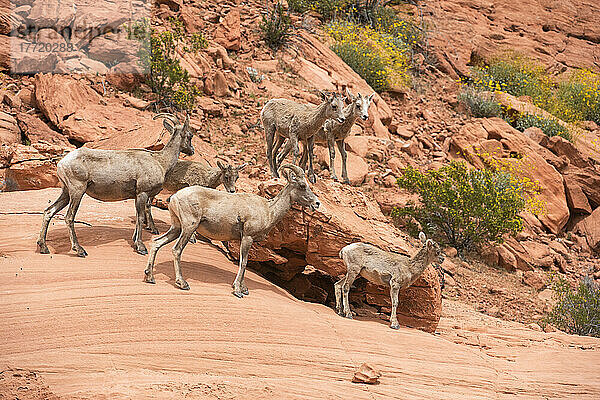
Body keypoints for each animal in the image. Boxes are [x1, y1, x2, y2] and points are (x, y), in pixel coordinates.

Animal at [36, 113, 195, 256]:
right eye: (190, 135)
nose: (192, 150)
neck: (161, 162)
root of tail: (62, 163)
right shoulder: (142, 193)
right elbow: (140, 218)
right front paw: (140, 247)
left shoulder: (137, 196)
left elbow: (138, 217)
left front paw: (135, 241)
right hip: (77, 191)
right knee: (69, 217)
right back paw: (80, 250)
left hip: (66, 192)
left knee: (48, 211)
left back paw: (43, 247)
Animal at [144, 162, 324, 296]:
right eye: (302, 185)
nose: (317, 203)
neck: (268, 210)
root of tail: (175, 197)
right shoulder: (247, 238)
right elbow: (243, 262)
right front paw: (238, 290)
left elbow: (245, 262)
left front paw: (243, 289)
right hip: (188, 228)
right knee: (176, 250)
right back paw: (182, 283)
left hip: (176, 227)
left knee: (157, 242)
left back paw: (150, 277)